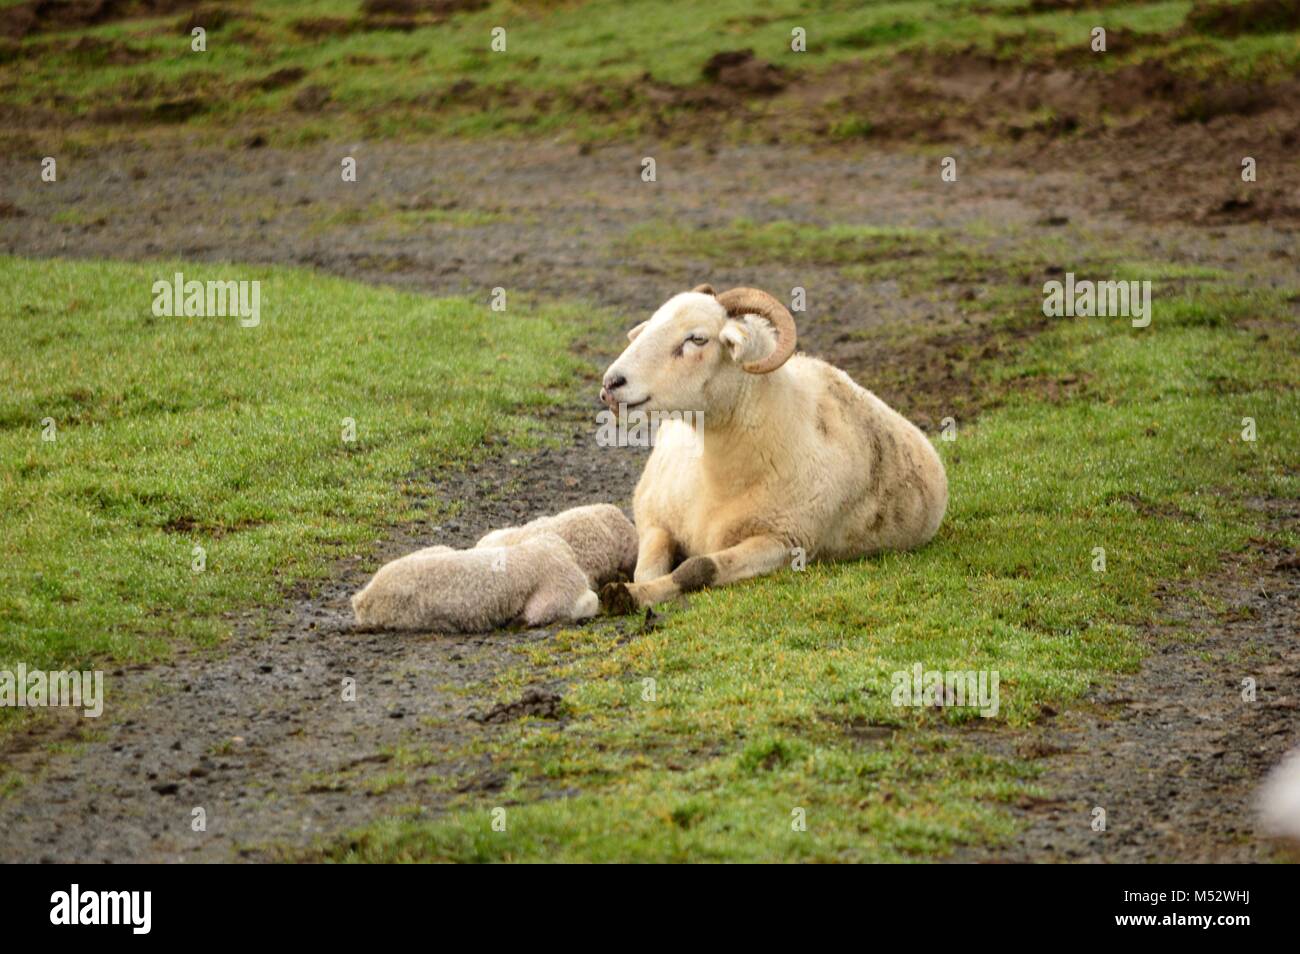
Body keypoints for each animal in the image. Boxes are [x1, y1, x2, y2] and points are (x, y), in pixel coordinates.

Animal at [596, 284, 947, 610]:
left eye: (697, 339)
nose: (611, 383)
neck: (719, 478)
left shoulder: (785, 542)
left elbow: (699, 567)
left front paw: (628, 595)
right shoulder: (656, 520)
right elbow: (647, 570)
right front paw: (634, 590)